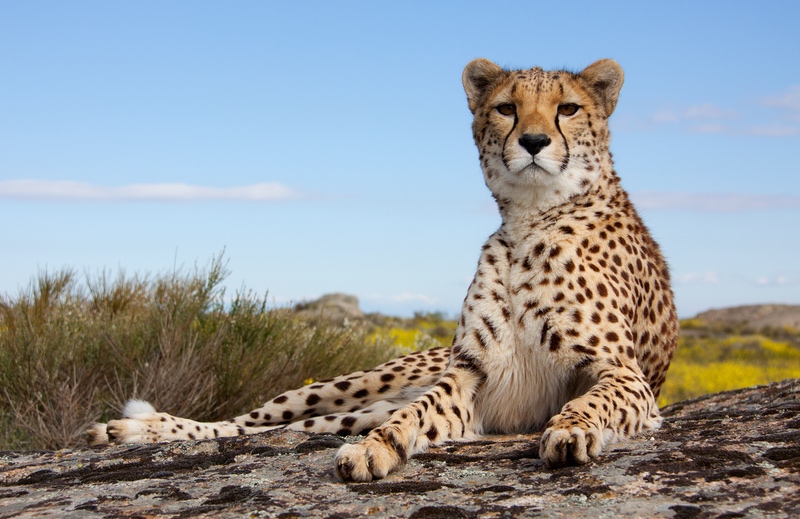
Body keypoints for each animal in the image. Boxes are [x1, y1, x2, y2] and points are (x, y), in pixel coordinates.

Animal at [89, 59, 676, 486]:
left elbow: (589, 401)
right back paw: (138, 428)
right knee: (247, 422)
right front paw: (377, 450)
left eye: (568, 108)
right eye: (507, 108)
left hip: (354, 407)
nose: (533, 142)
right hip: (354, 385)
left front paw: (571, 431)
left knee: (289, 427)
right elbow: (415, 416)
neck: (530, 219)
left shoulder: (624, 375)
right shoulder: (469, 375)